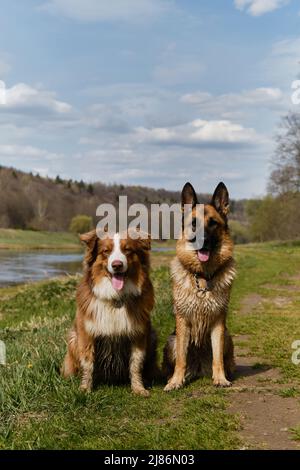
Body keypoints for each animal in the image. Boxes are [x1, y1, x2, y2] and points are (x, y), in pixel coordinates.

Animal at [61, 229, 158, 394]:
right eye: (106, 251)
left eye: (127, 250)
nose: (117, 265)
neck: (115, 298)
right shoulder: (86, 333)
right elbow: (88, 363)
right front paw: (85, 389)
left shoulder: (139, 333)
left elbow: (136, 363)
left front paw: (138, 388)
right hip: (73, 339)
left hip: (152, 336)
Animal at [163, 182, 236, 392]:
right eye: (194, 223)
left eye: (212, 223)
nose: (201, 241)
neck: (203, 276)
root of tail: (198, 367)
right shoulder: (183, 321)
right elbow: (181, 358)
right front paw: (176, 381)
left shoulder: (218, 323)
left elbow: (218, 358)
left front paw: (220, 378)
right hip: (171, 340)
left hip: (228, 336)